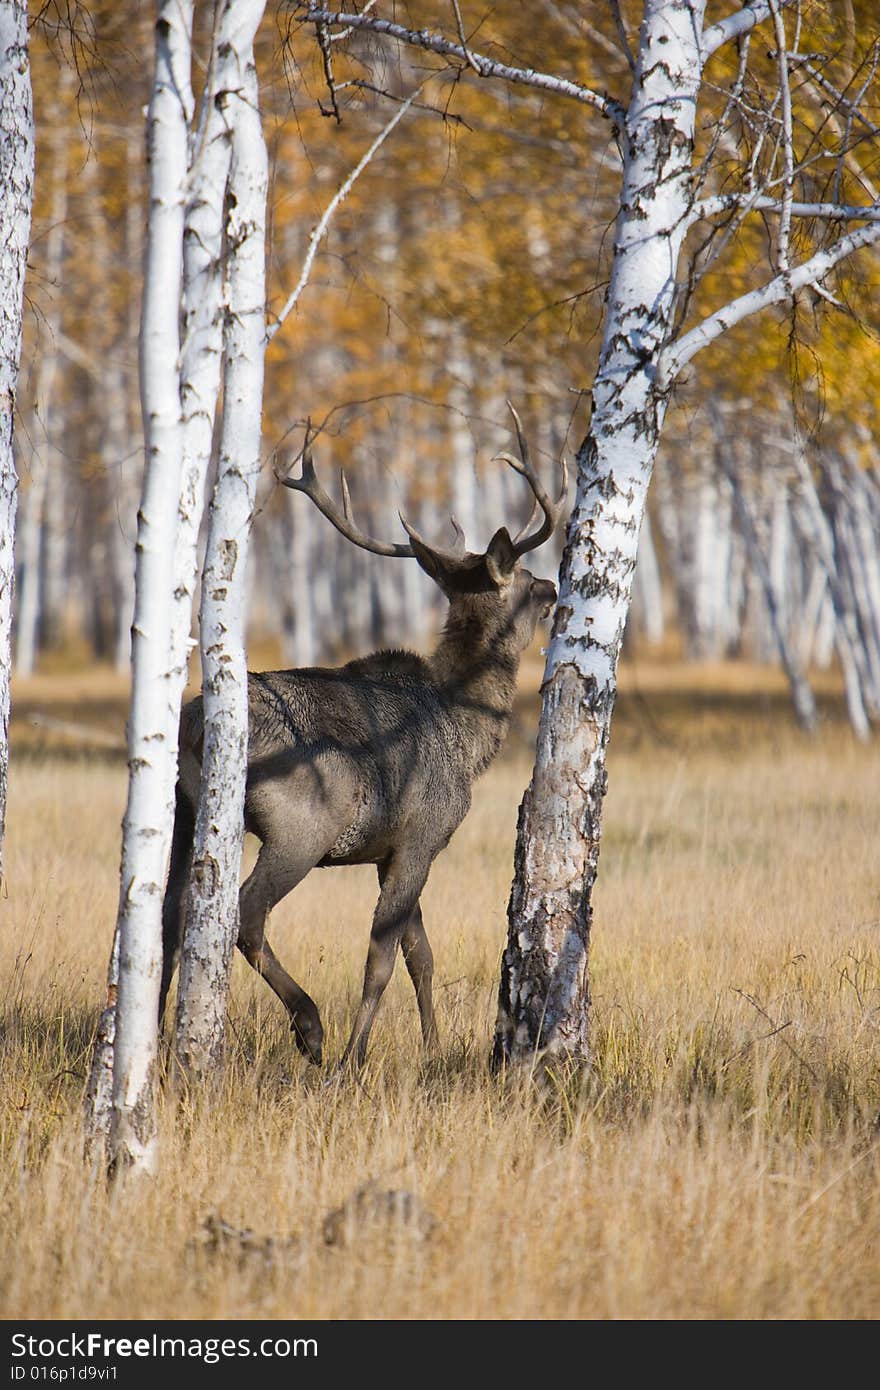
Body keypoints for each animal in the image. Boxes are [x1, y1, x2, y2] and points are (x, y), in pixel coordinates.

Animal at [159, 405, 561, 1067]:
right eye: (526, 579)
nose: (553, 588)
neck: (468, 732)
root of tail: (196, 727)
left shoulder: (391, 848)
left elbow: (421, 955)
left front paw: (433, 1051)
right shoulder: (424, 835)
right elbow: (381, 957)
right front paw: (355, 1057)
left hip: (182, 809)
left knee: (166, 912)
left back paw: (160, 1035)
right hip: (299, 827)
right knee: (244, 914)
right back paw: (310, 1027)